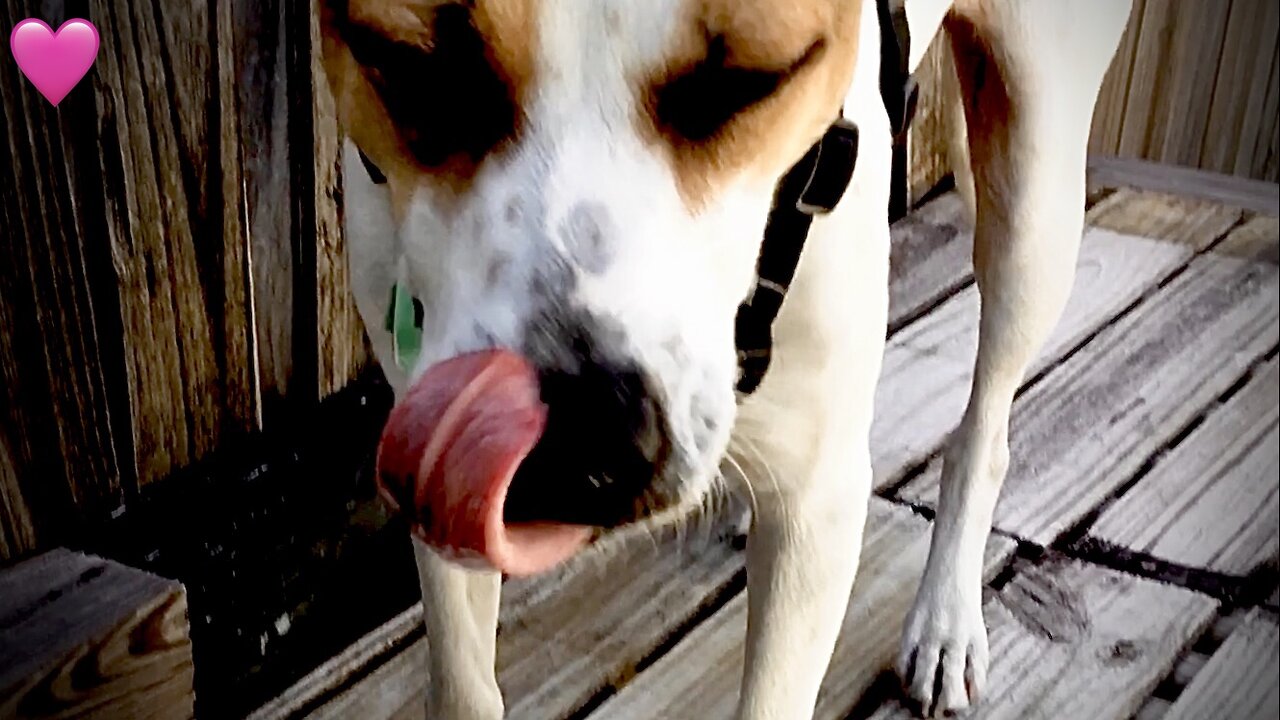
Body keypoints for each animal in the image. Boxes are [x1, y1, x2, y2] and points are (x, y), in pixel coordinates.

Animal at [317, 1, 1131, 712]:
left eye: (752, 80)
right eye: (413, 65)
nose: (581, 436)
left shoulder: (821, 498)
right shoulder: (429, 461)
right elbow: (462, 682)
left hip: (1033, 203)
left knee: (986, 429)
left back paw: (946, 620)